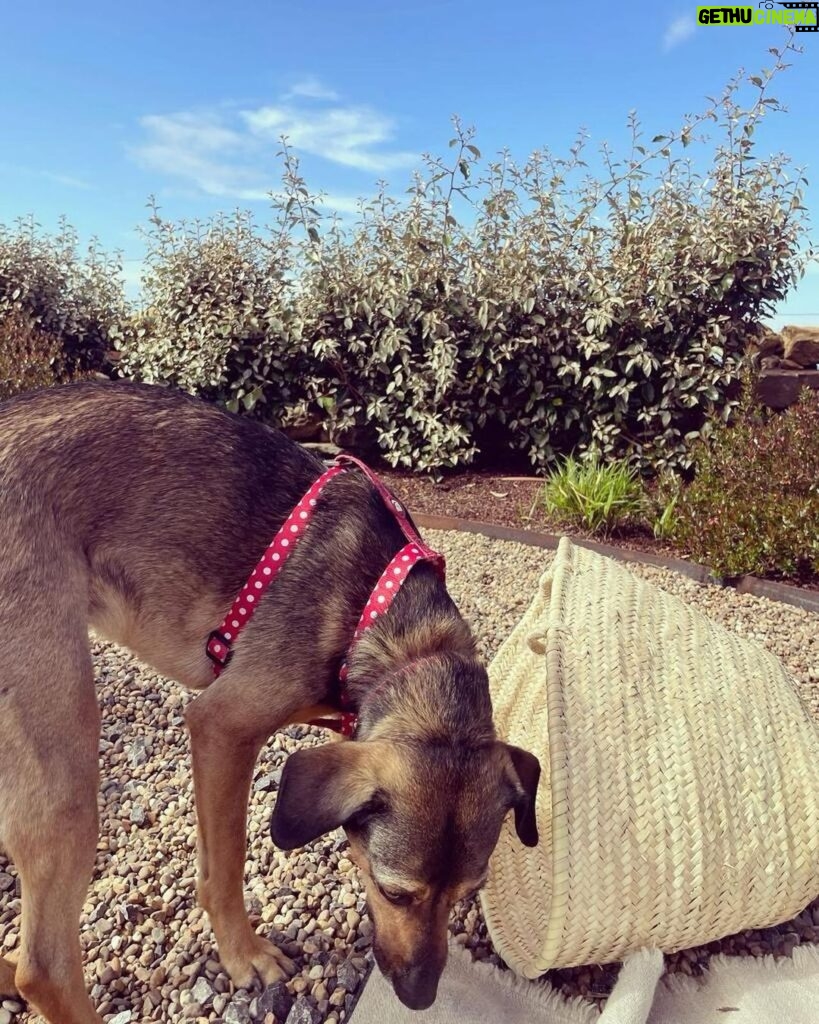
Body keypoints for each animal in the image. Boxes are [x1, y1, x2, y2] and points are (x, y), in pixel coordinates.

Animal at [0, 380, 536, 1019]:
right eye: (393, 892)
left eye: (468, 893)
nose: (420, 997)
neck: (396, 630)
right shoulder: (222, 725)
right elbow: (226, 865)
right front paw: (244, 956)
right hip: (65, 753)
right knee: (45, 967)